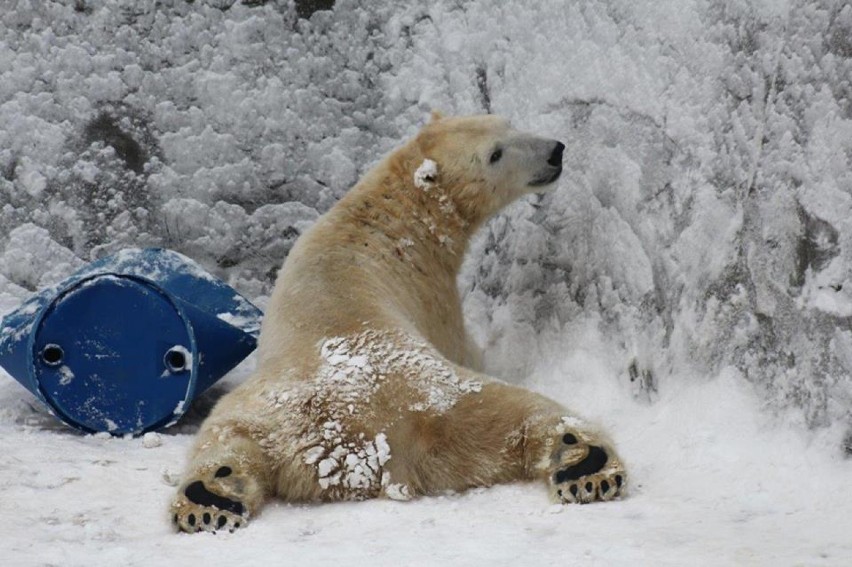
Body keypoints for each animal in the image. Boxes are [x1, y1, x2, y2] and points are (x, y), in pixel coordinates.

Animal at [171, 114, 624, 532]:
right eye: (495, 154)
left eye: (508, 124)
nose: (555, 152)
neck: (384, 218)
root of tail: (361, 441)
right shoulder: (436, 298)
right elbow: (469, 348)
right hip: (431, 394)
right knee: (527, 408)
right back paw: (587, 461)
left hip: (315, 413)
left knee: (228, 440)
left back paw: (210, 496)